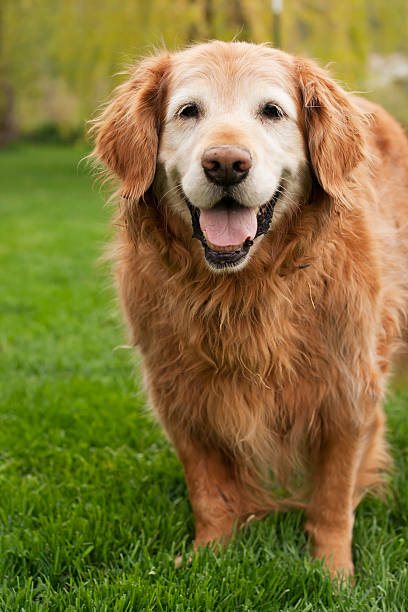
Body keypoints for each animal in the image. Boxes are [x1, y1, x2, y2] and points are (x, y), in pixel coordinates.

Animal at [91, 40, 408, 576]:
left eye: (272, 111)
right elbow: (209, 492)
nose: (225, 163)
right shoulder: (180, 391)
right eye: (189, 111)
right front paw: (207, 555)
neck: (242, 289)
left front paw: (333, 574)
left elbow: (332, 499)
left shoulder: (348, 390)